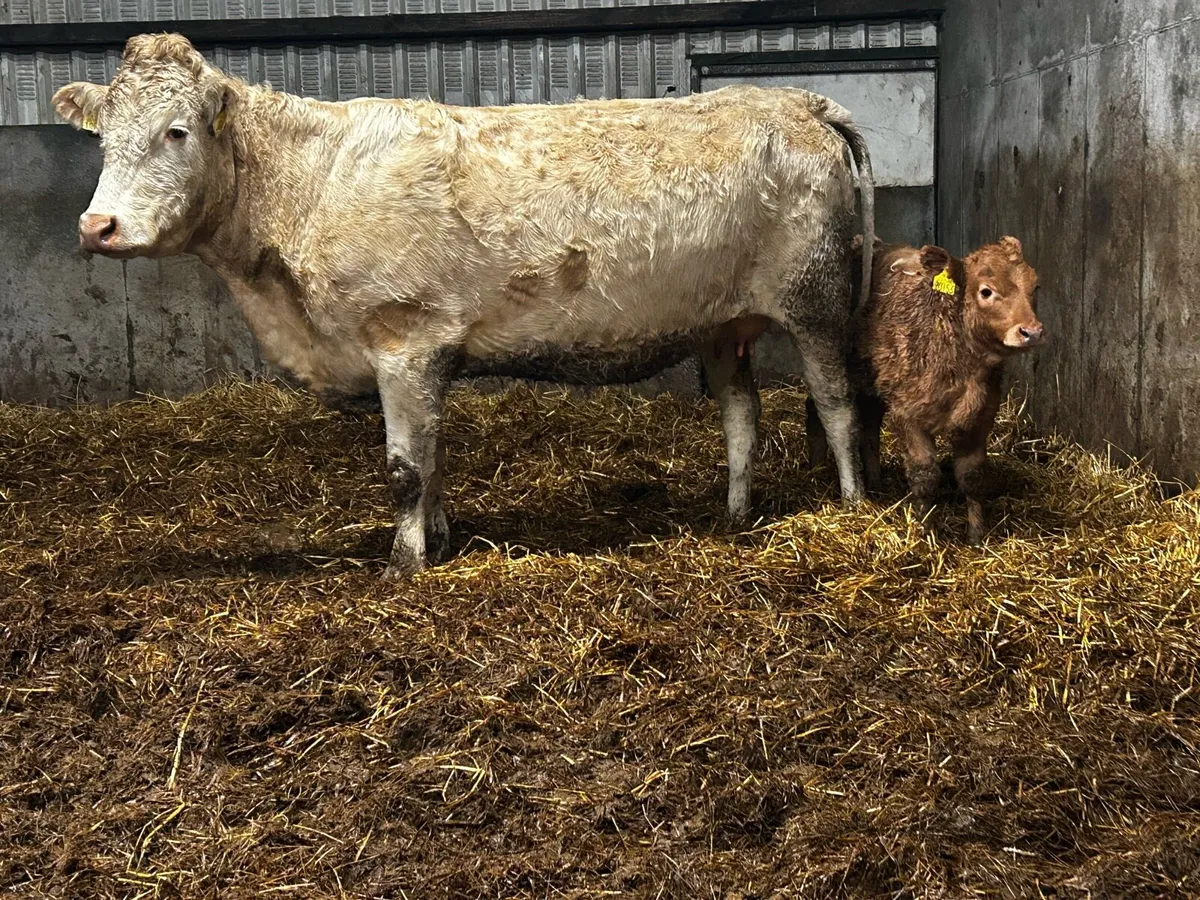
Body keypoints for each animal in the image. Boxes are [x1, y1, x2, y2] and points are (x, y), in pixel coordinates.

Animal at [54, 33, 875, 578]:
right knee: (742, 413)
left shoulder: (403, 338)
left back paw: (852, 506)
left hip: (816, 302)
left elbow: (403, 468)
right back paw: (734, 515)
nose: (98, 226)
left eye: (176, 131)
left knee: (836, 405)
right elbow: (432, 455)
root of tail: (797, 101)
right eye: (104, 139)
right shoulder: (426, 357)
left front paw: (405, 562)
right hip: (721, 322)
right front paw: (440, 539)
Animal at [807, 235, 1045, 544]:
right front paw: (927, 533)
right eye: (986, 291)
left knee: (870, 430)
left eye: (1035, 286)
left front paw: (976, 536)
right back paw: (815, 471)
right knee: (817, 409)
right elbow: (925, 476)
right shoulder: (908, 415)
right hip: (831, 368)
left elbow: (972, 477)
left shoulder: (980, 418)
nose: (1032, 332)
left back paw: (876, 482)